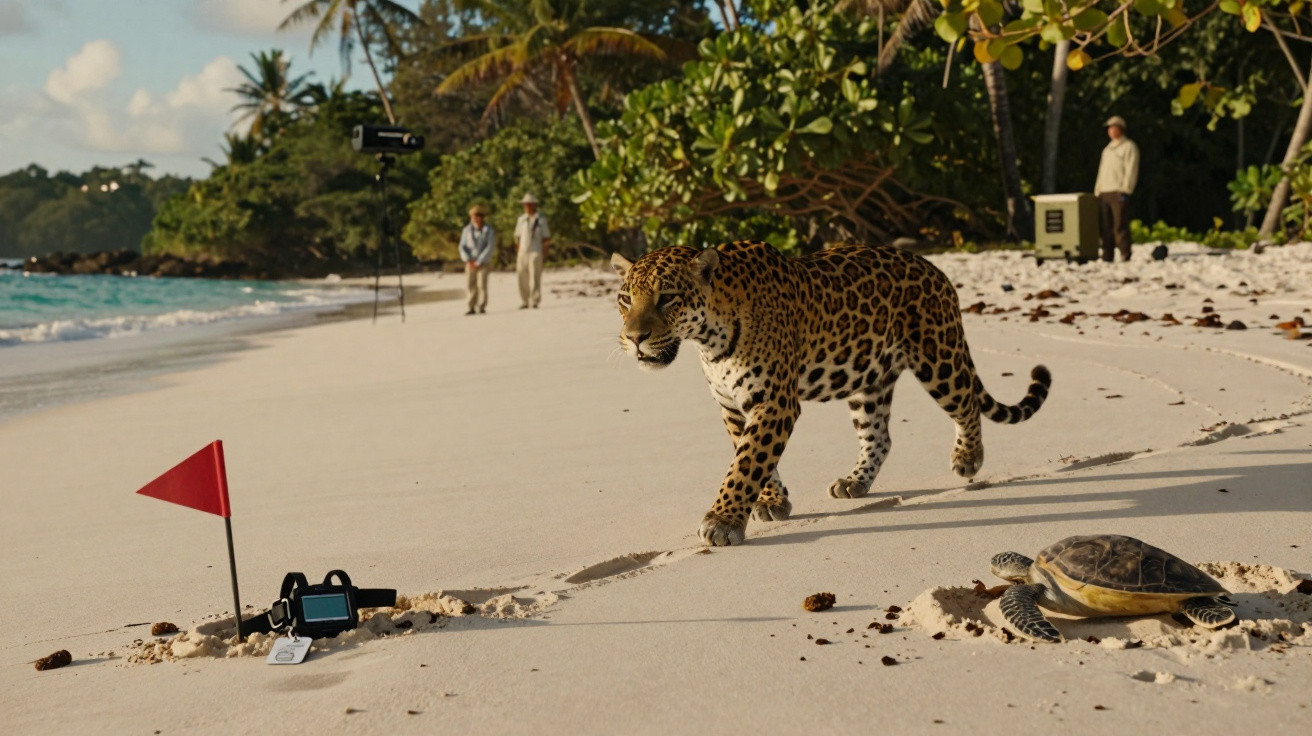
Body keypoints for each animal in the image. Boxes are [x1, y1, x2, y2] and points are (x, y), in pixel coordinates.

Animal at [610, 240, 1051, 547]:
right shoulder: (733, 407)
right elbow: (752, 455)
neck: (710, 339)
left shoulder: (775, 401)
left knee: (966, 404)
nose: (634, 338)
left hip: (938, 357)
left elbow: (747, 462)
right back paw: (855, 482)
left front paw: (722, 521)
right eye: (625, 298)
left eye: (668, 298)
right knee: (879, 436)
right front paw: (771, 501)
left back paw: (968, 458)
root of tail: (937, 271)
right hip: (868, 379)